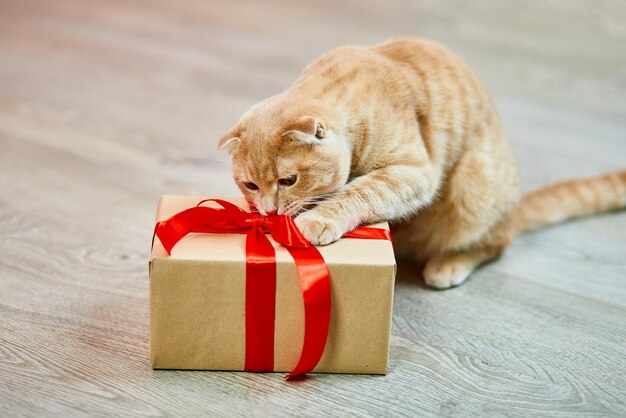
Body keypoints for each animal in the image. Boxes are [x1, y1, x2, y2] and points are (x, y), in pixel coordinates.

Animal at [216, 38, 624, 288]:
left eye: (289, 180)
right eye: (250, 185)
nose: (268, 212)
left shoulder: (415, 174)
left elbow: (359, 190)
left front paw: (317, 219)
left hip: (475, 183)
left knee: (495, 244)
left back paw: (448, 265)